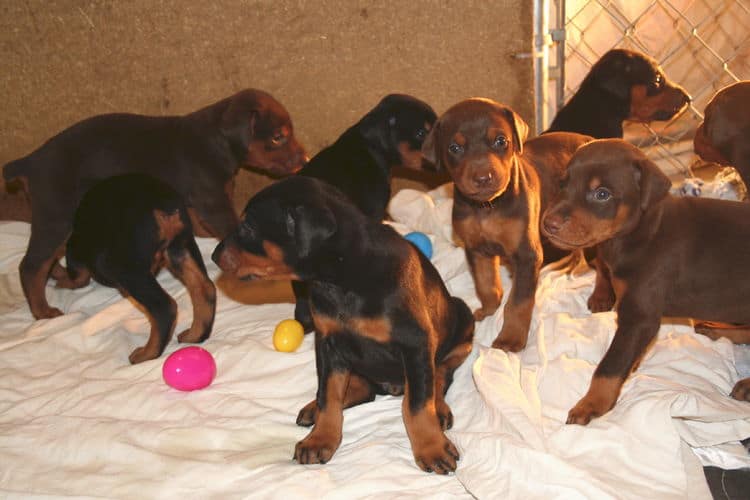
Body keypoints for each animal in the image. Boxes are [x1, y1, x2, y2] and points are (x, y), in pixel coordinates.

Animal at [424, 97, 592, 352]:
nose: (483, 178)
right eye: (455, 148)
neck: (487, 208)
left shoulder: (527, 255)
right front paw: (488, 311)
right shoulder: (476, 249)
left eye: (501, 141)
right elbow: (486, 285)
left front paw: (510, 339)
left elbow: (518, 304)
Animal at [544, 139, 750, 424]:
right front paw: (634, 363)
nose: (548, 223)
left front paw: (592, 403)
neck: (640, 232)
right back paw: (717, 331)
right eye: (563, 183)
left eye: (602, 194)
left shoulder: (639, 315)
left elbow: (610, 364)